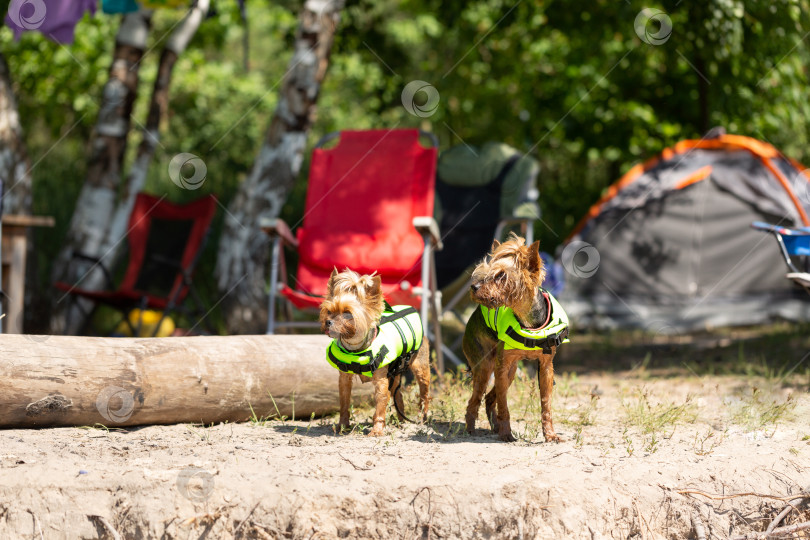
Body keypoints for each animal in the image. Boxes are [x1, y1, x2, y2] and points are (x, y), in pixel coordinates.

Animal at [318, 268, 430, 436]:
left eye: (348, 313)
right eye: (329, 311)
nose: (328, 322)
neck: (356, 350)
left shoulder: (381, 381)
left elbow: (380, 405)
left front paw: (377, 430)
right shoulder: (344, 379)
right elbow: (344, 403)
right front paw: (342, 426)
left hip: (420, 368)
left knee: (424, 394)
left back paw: (423, 417)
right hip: (395, 374)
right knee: (398, 395)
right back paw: (400, 421)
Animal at [460, 234, 568, 440]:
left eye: (501, 275)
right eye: (486, 273)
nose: (473, 286)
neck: (528, 322)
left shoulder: (546, 368)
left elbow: (546, 405)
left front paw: (550, 434)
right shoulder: (502, 367)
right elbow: (504, 406)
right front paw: (506, 434)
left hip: (510, 372)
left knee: (489, 398)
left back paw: (494, 426)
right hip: (485, 368)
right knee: (474, 400)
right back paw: (470, 429)